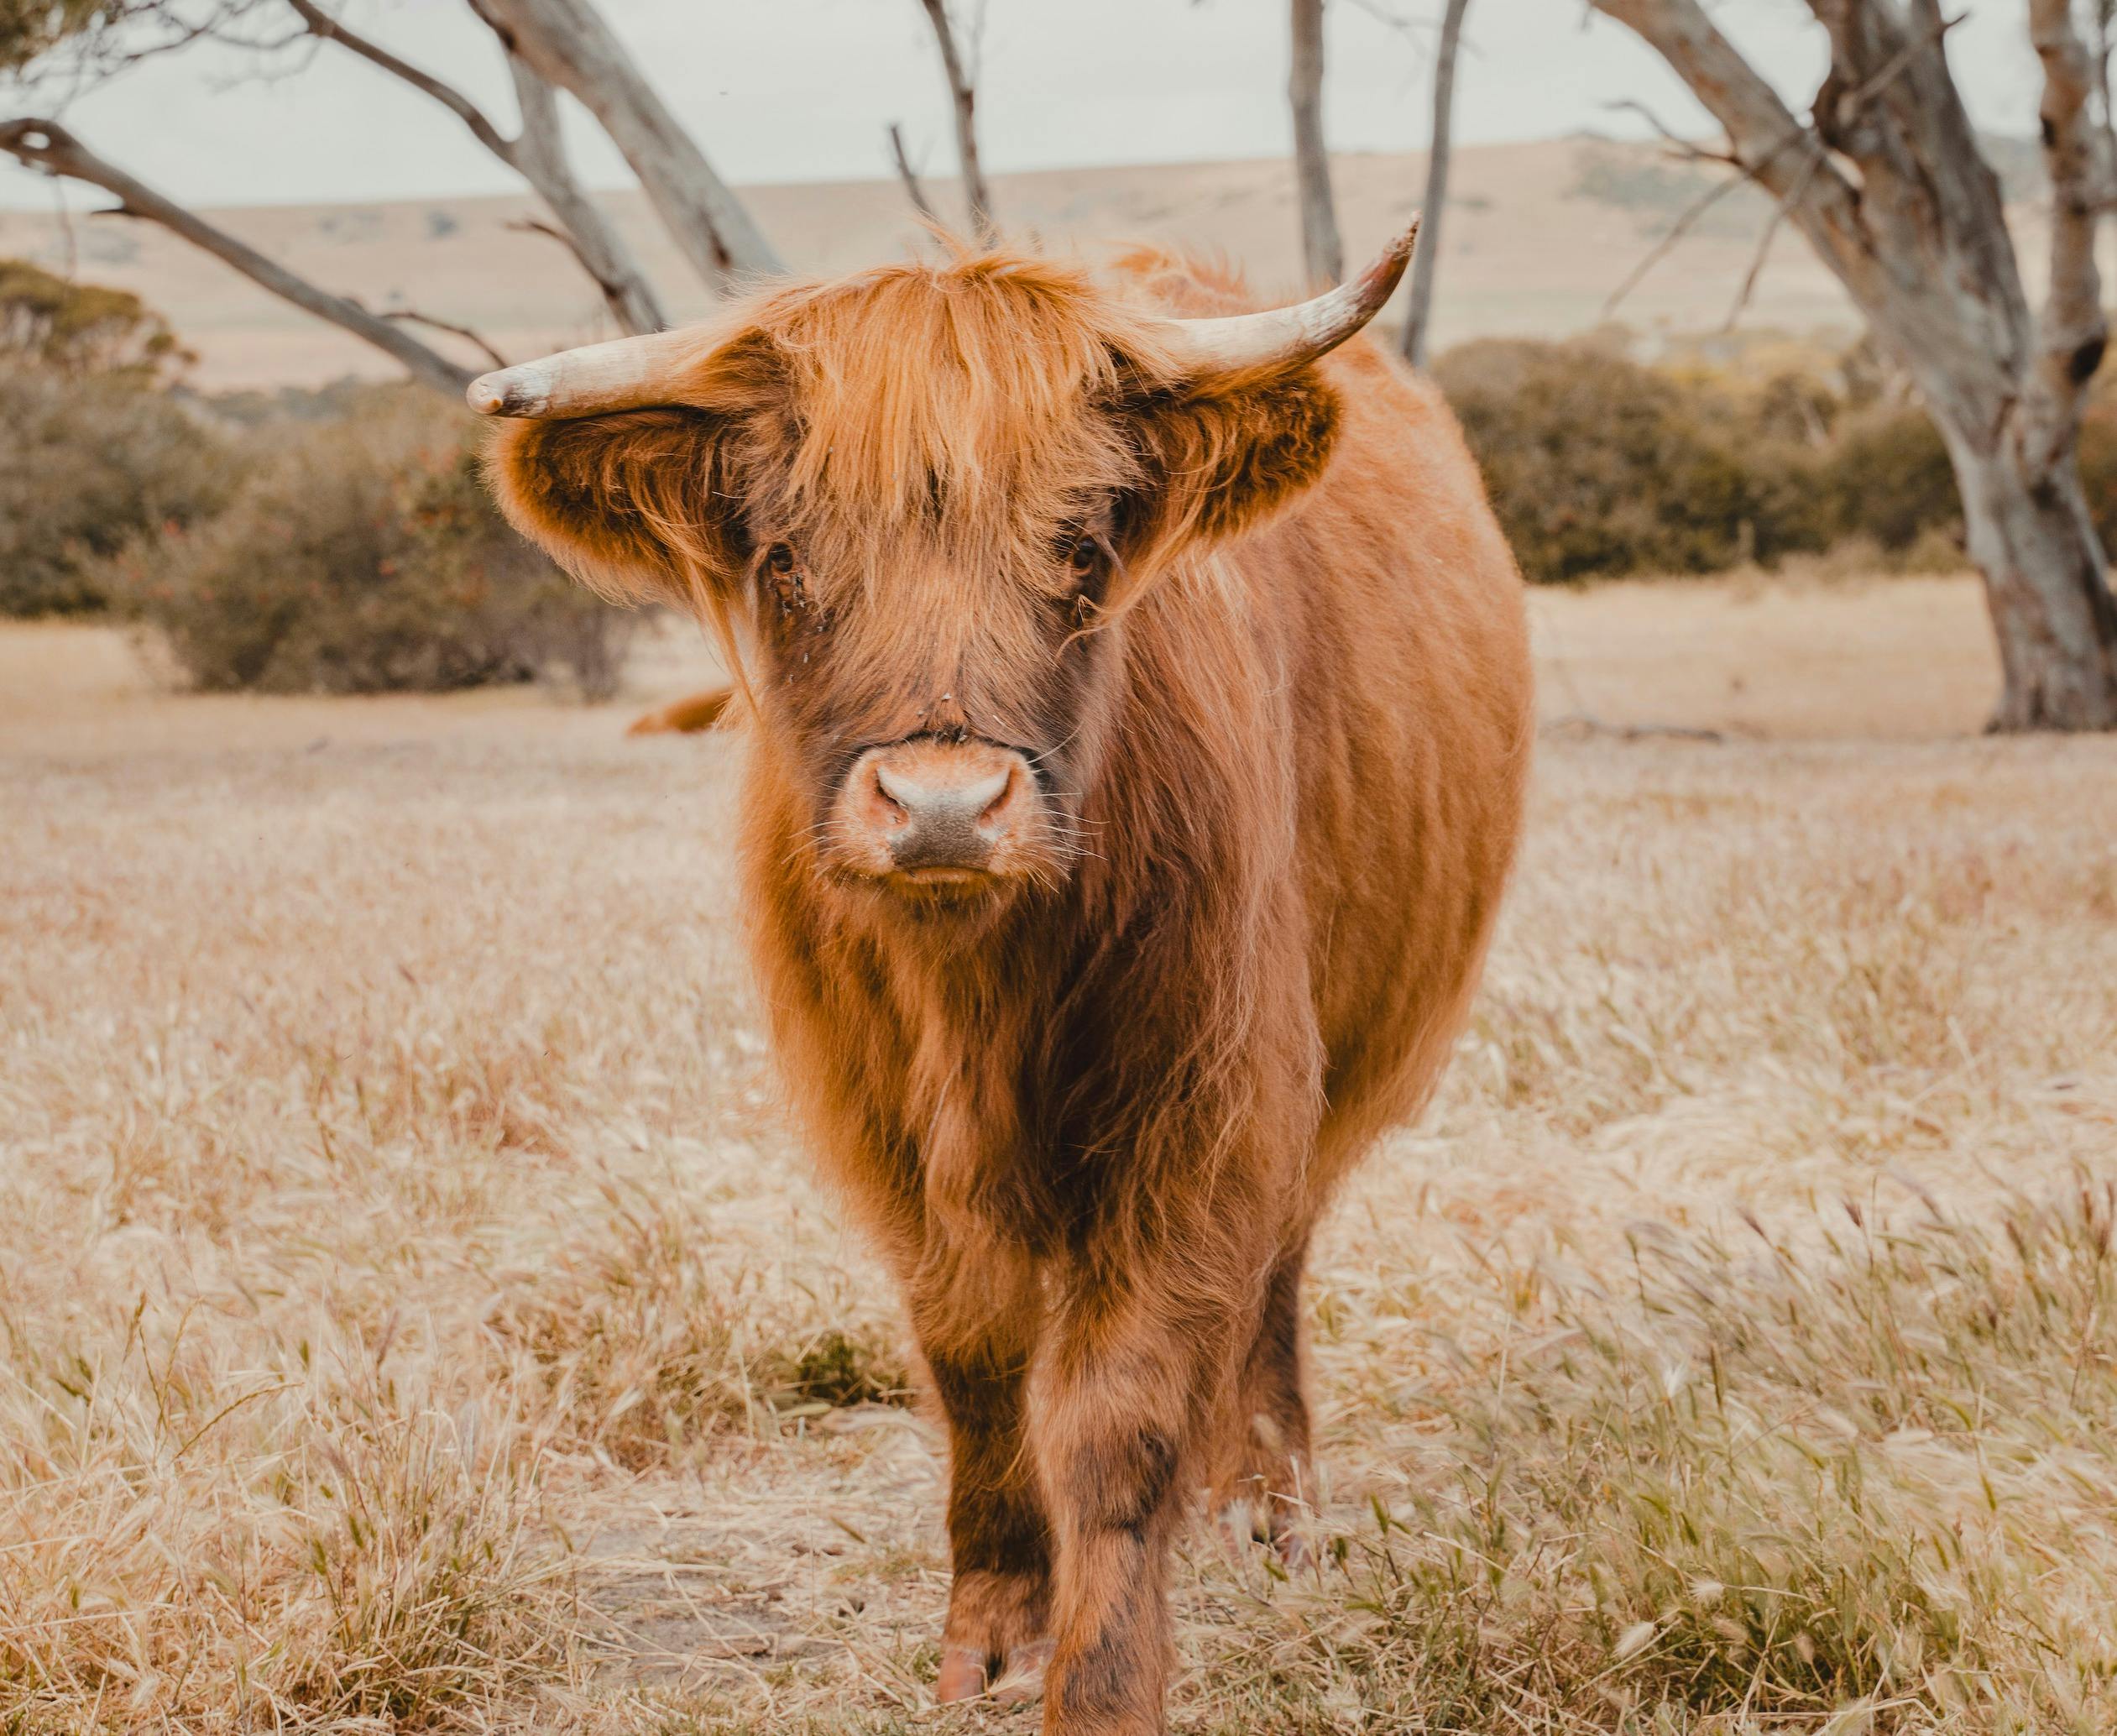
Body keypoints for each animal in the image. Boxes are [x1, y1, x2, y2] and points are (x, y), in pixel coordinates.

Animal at [469, 223, 1532, 1735]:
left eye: (1079, 547)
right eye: (785, 559)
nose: (941, 809)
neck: (973, 994)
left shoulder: (1202, 1108)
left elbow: (1118, 1417)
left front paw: (1100, 1681)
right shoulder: (890, 1137)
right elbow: (972, 1372)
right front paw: (991, 1632)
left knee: (1273, 1280)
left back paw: (1268, 1507)